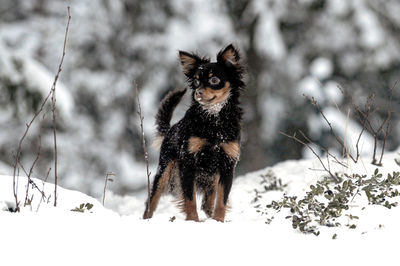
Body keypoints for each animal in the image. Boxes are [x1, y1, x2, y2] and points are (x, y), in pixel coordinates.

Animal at [144, 44, 244, 222]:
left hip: (212, 177)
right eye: (196, 81)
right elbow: (189, 199)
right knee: (152, 200)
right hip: (164, 170)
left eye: (214, 80)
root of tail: (170, 130)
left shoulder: (227, 165)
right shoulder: (188, 163)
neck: (214, 120)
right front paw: (193, 222)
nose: (198, 93)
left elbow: (221, 200)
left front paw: (218, 221)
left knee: (207, 203)